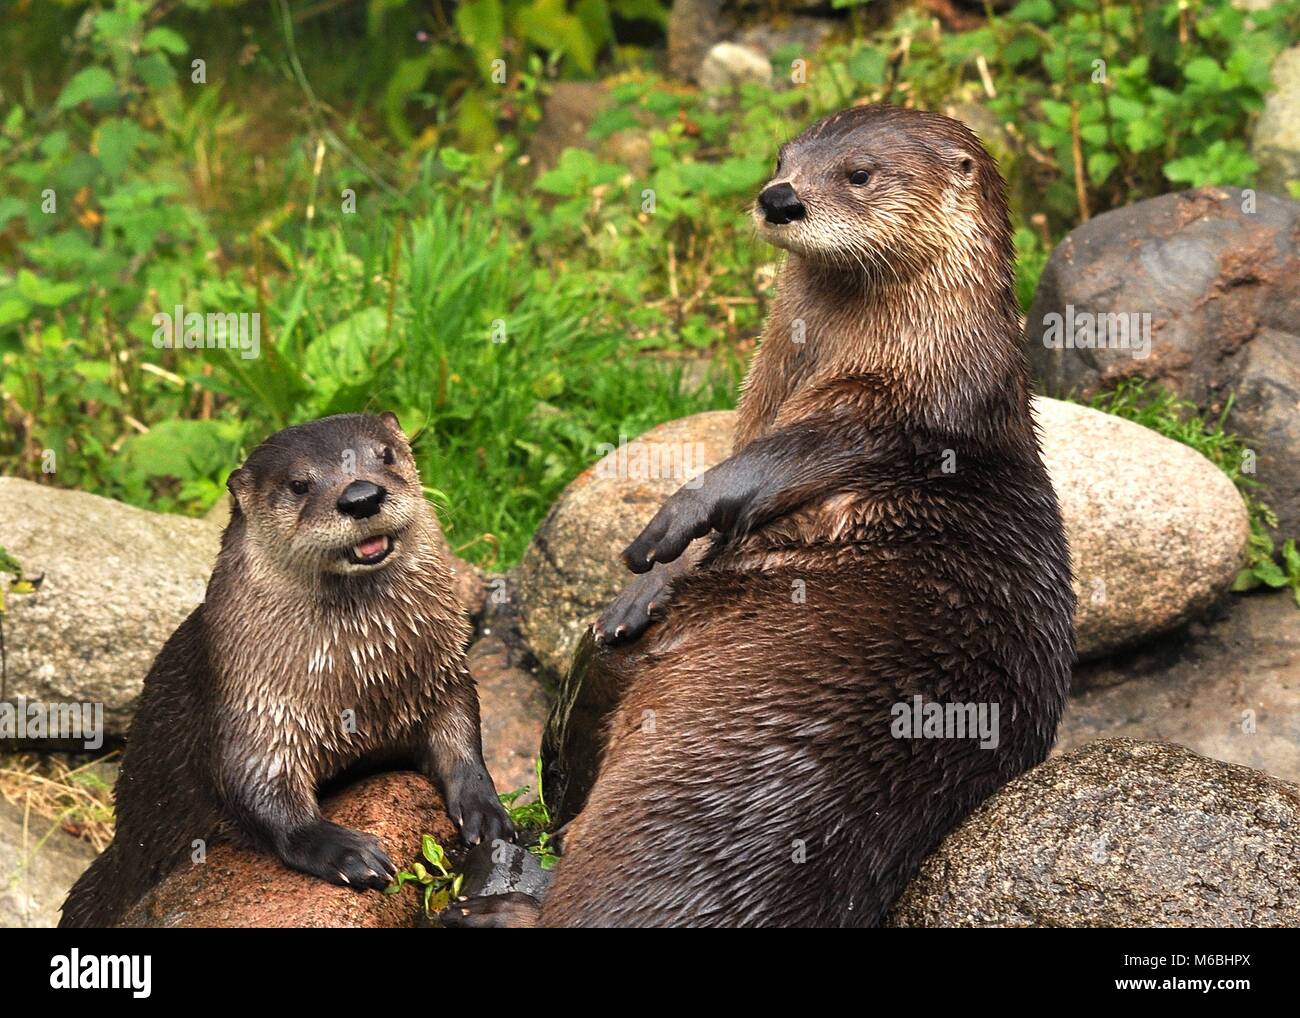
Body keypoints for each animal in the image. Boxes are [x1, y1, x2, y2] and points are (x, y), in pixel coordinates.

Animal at [61, 410, 509, 925]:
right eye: (298, 484)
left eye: (386, 455)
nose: (361, 496)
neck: (364, 681)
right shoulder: (249, 704)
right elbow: (255, 785)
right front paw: (345, 852)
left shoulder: (441, 673)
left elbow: (461, 731)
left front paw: (484, 809)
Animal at [447, 105, 1076, 930]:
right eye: (783, 157)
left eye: (859, 173)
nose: (780, 199)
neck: (918, 357)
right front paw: (641, 590)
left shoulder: (891, 413)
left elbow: (784, 458)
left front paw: (678, 522)